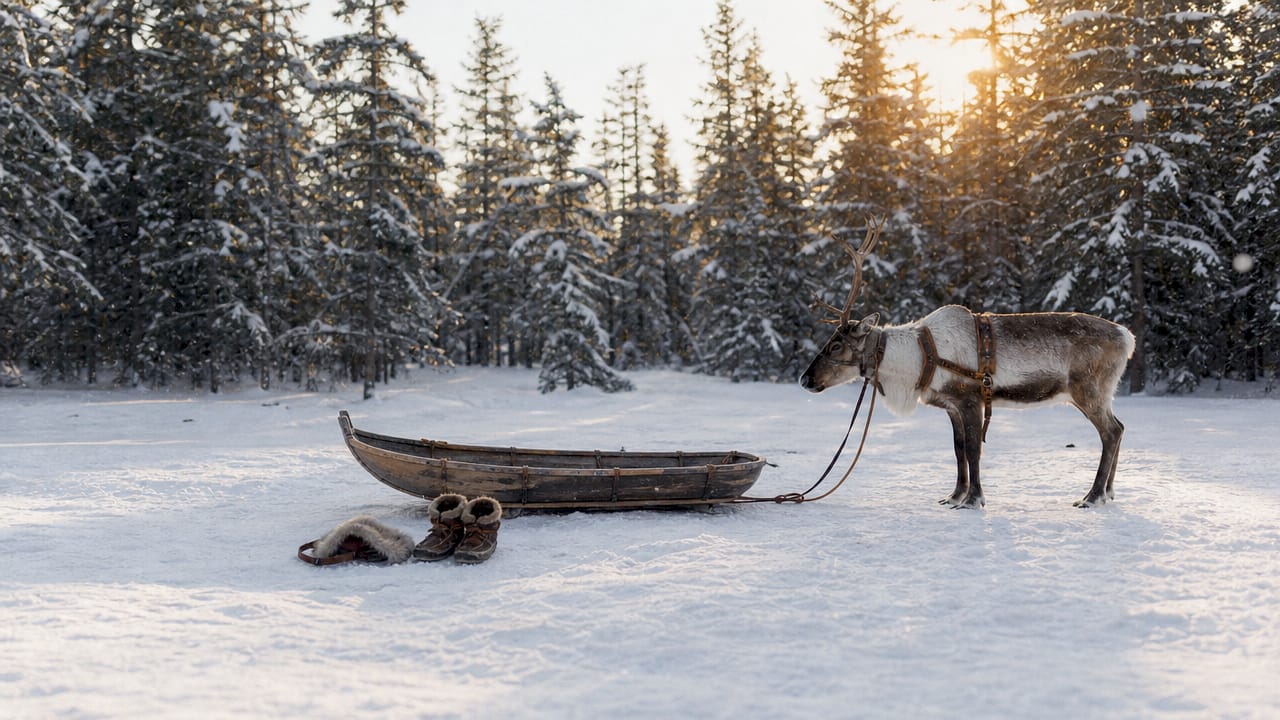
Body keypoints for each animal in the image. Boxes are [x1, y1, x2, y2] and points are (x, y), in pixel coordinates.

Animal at [799, 218, 1136, 509]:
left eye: (836, 345)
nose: (804, 379)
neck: (919, 358)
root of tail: (1128, 337)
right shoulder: (951, 405)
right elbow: (958, 449)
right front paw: (954, 496)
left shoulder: (971, 399)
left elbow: (974, 450)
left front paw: (973, 500)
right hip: (1096, 394)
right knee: (1119, 427)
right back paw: (1108, 493)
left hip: (1088, 390)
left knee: (1111, 432)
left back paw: (1092, 496)